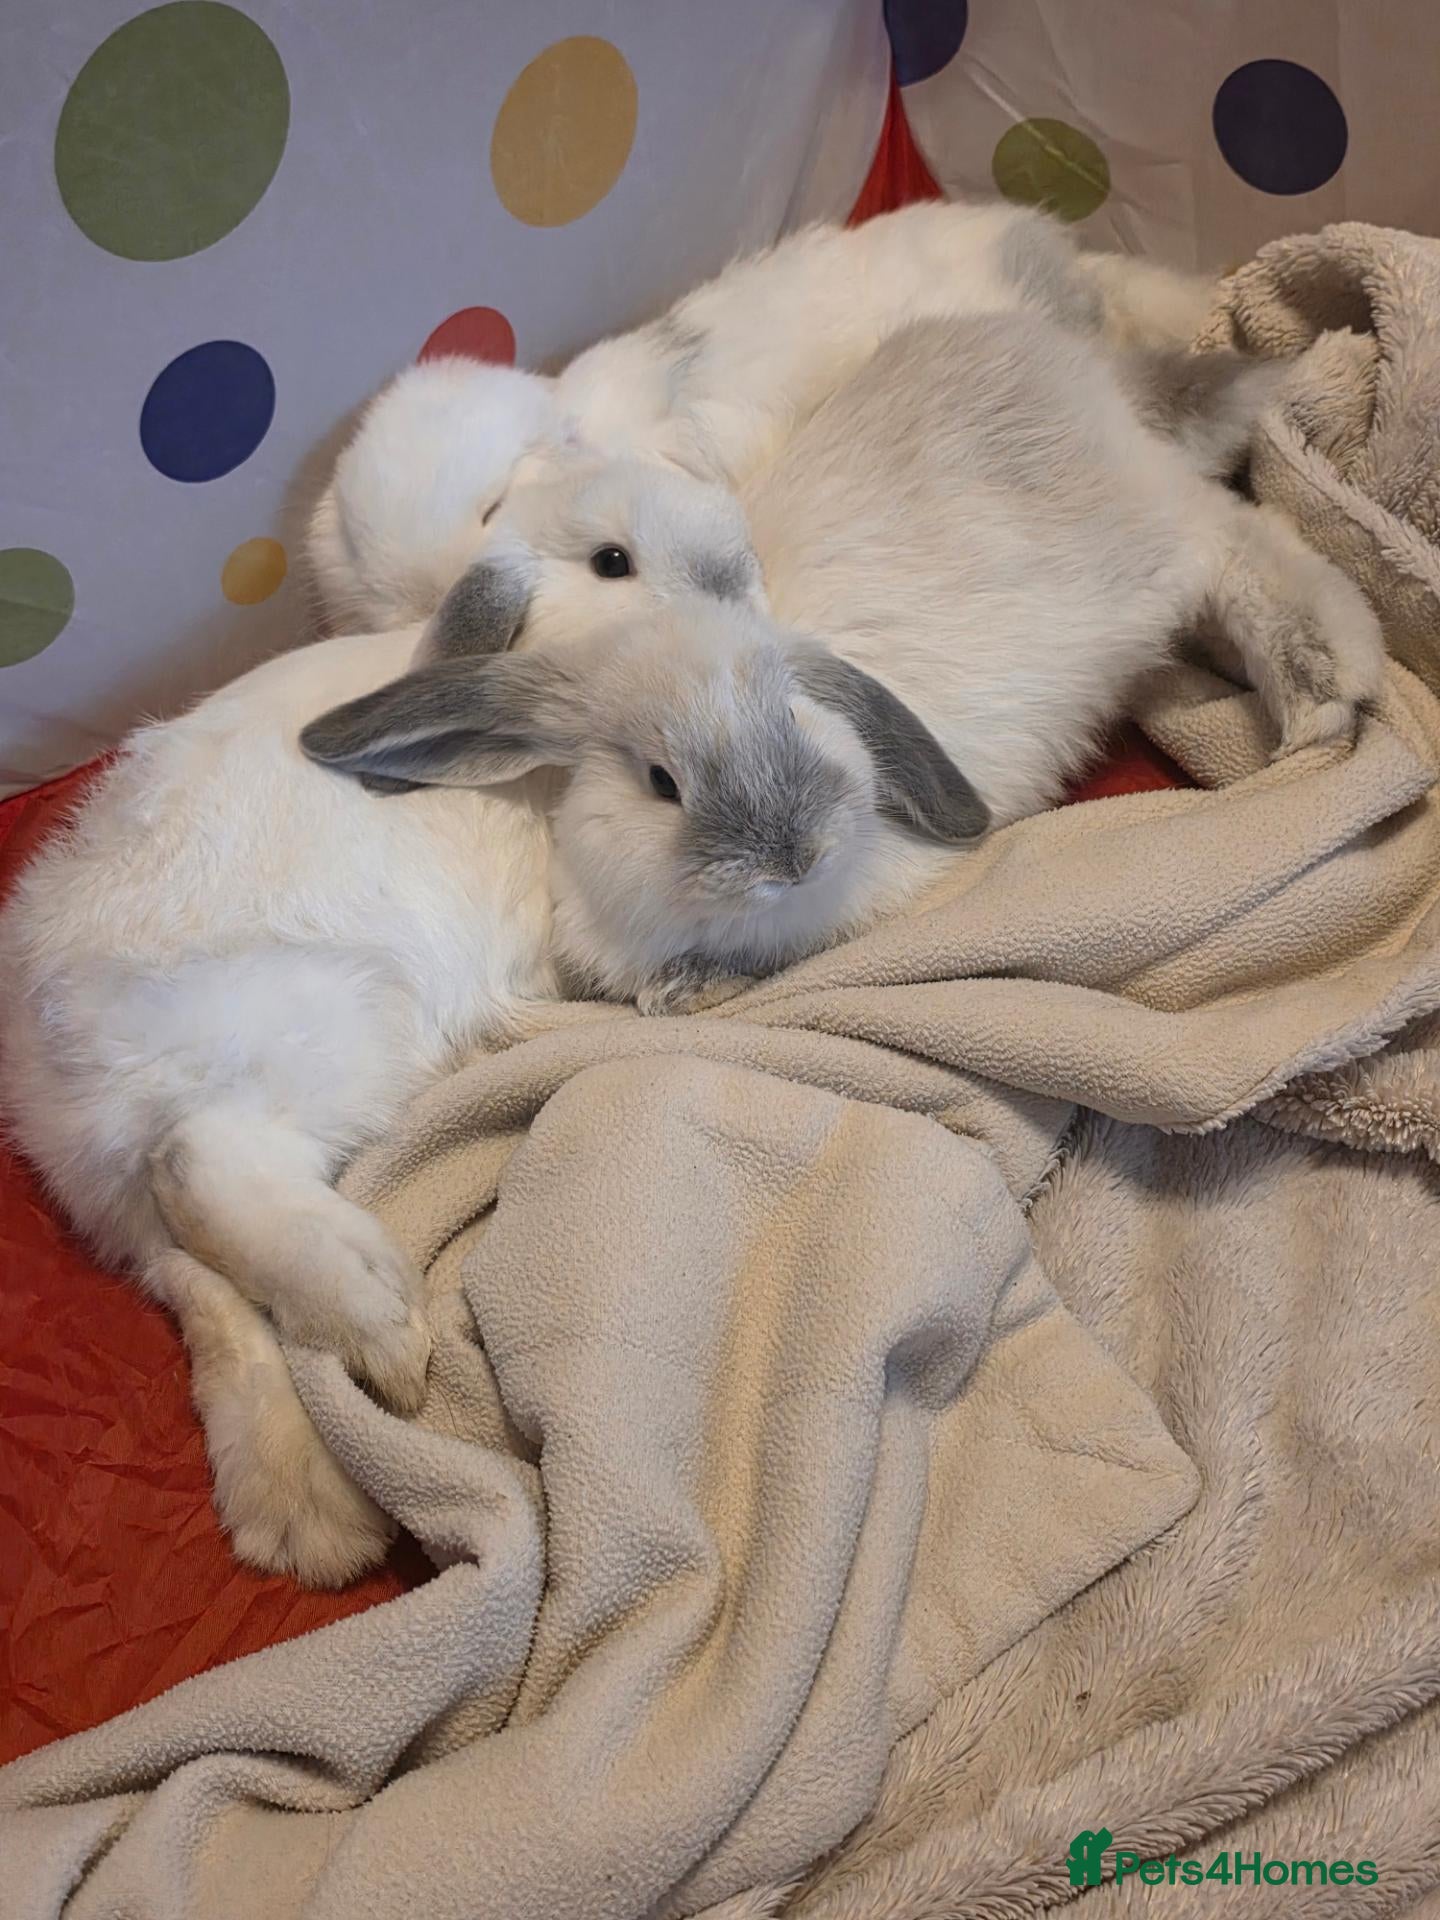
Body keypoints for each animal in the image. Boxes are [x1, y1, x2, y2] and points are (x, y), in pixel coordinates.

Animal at [300, 310, 1384, 1014]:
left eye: (795, 711)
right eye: (660, 782)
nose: (795, 856)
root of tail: (1087, 372)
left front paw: (690, 992)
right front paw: (672, 993)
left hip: (1165, 540)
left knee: (1248, 550)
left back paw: (1326, 691)